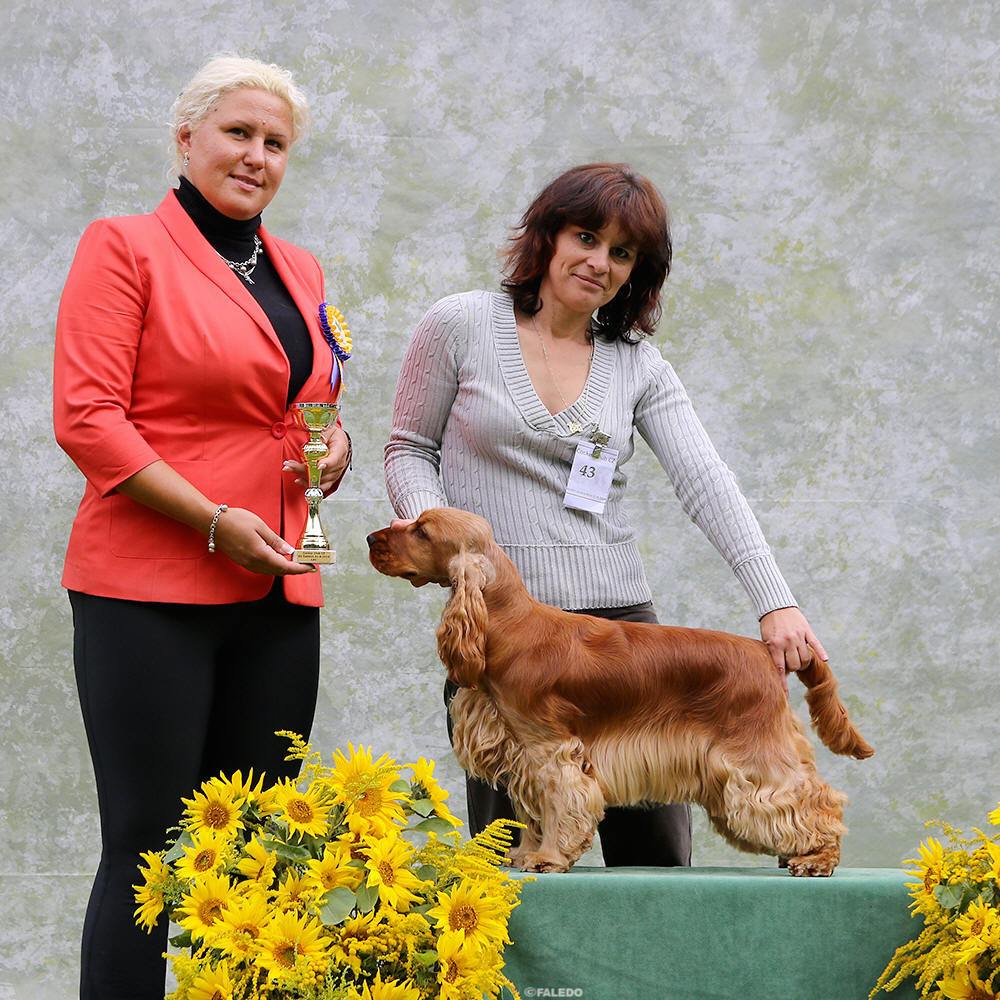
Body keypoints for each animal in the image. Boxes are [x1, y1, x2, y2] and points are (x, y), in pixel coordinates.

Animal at [367, 507, 873, 875]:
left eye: (422, 531)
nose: (372, 539)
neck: (508, 623)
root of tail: (764, 650)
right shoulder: (520, 751)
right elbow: (529, 810)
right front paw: (524, 855)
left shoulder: (551, 749)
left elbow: (557, 804)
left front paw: (548, 859)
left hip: (753, 754)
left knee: (817, 799)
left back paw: (818, 859)